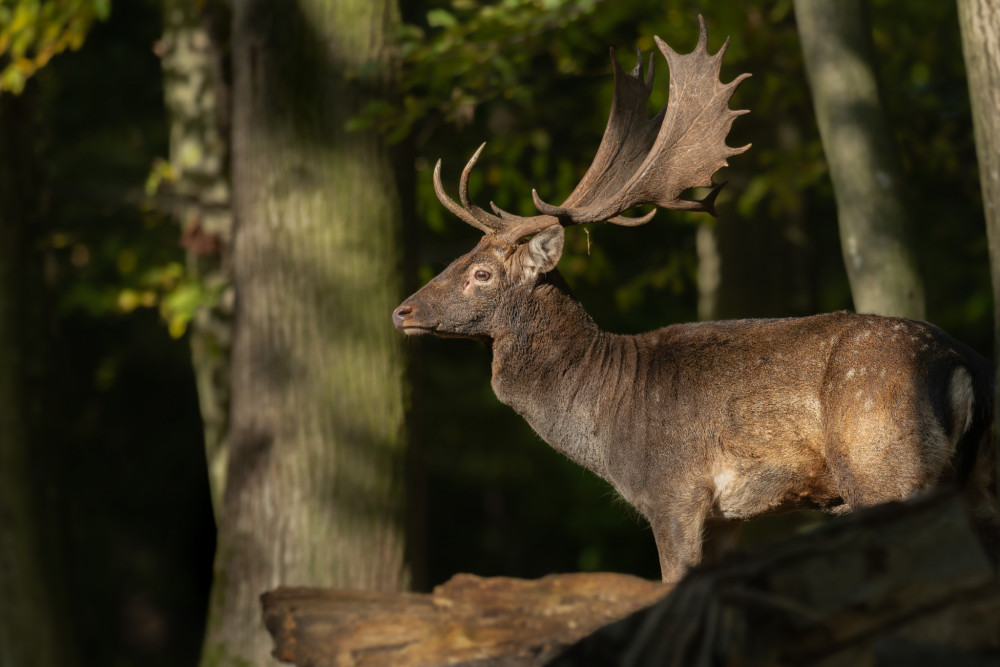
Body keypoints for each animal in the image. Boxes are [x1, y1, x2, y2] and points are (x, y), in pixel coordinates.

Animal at [392, 17, 1000, 584]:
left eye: (481, 273)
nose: (402, 311)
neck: (605, 416)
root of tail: (963, 363)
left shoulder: (674, 491)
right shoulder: (727, 516)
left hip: (884, 463)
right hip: (979, 476)